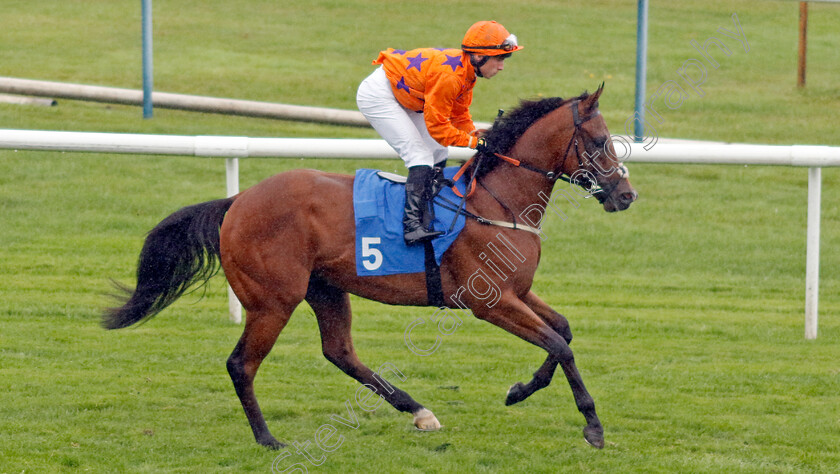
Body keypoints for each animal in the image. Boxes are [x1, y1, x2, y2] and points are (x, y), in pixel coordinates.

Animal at [105, 83, 636, 450]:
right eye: (599, 140)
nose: (626, 195)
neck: (496, 200)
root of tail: (238, 201)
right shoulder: (489, 301)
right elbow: (559, 345)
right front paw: (592, 425)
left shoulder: (518, 293)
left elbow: (562, 331)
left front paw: (519, 390)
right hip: (274, 300)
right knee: (242, 364)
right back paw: (267, 438)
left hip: (325, 288)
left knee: (339, 352)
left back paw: (418, 410)